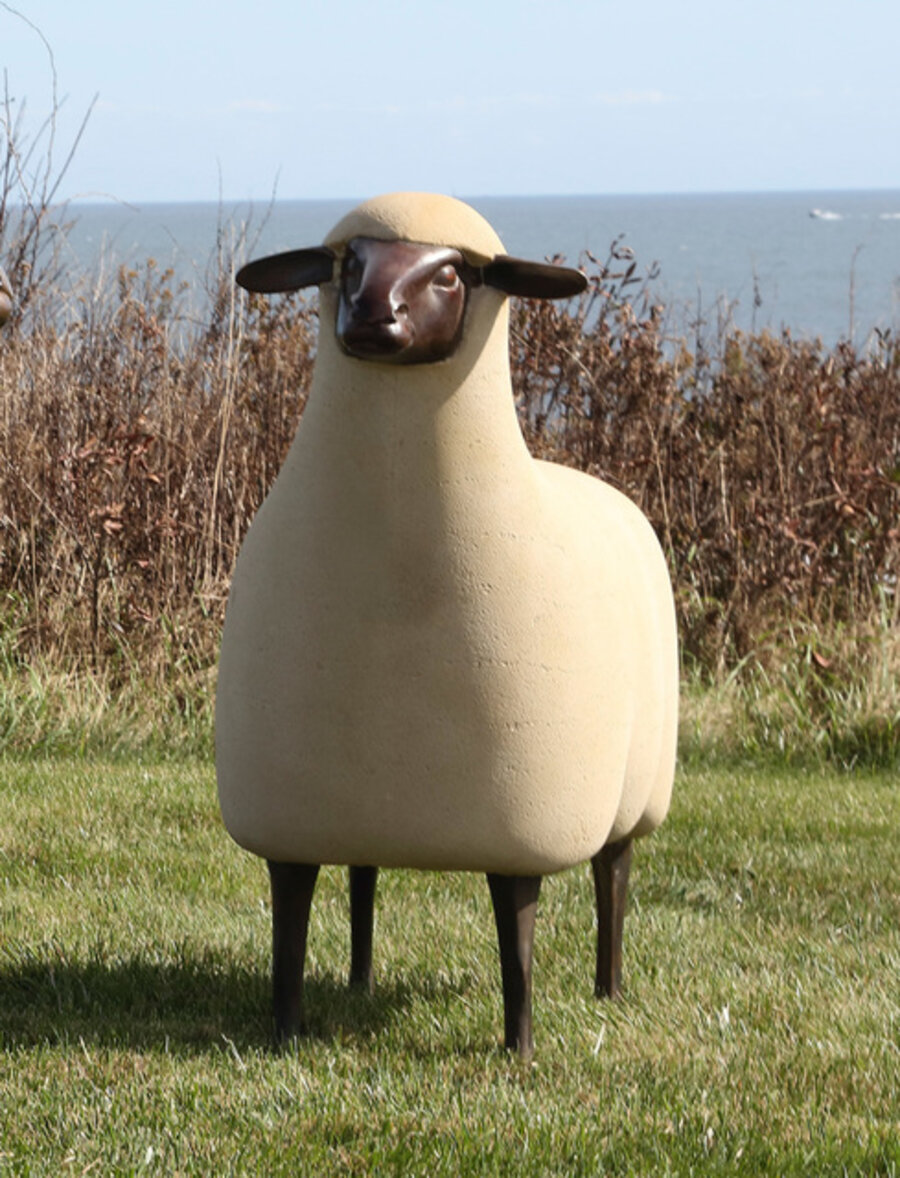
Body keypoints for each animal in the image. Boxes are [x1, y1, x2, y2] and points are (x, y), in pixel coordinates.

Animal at [216, 192, 678, 1056]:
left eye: (455, 272)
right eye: (348, 263)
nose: (372, 315)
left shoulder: (519, 826)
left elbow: (517, 932)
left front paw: (519, 1046)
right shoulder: (302, 815)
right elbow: (290, 927)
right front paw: (285, 1031)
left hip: (633, 795)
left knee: (614, 879)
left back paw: (608, 987)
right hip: (363, 810)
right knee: (363, 878)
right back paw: (359, 981)